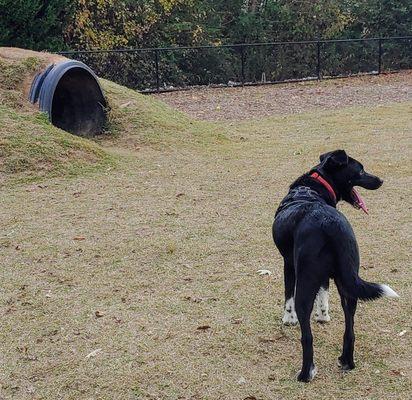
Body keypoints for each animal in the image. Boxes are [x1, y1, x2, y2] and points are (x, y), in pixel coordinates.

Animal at [272, 152, 398, 382]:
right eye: (361, 171)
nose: (381, 180)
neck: (311, 188)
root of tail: (330, 224)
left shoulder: (289, 264)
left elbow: (288, 296)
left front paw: (288, 319)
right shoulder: (324, 276)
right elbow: (324, 293)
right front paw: (323, 316)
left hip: (305, 283)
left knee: (307, 336)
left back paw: (306, 373)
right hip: (348, 284)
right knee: (350, 329)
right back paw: (347, 361)